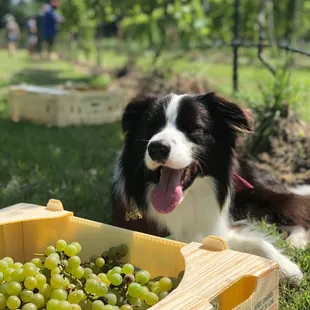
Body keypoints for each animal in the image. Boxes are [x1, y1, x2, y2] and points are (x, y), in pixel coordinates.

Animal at [111, 91, 302, 284]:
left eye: (194, 127)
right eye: (150, 126)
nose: (157, 148)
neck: (185, 201)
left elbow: (258, 242)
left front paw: (288, 267)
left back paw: (297, 241)